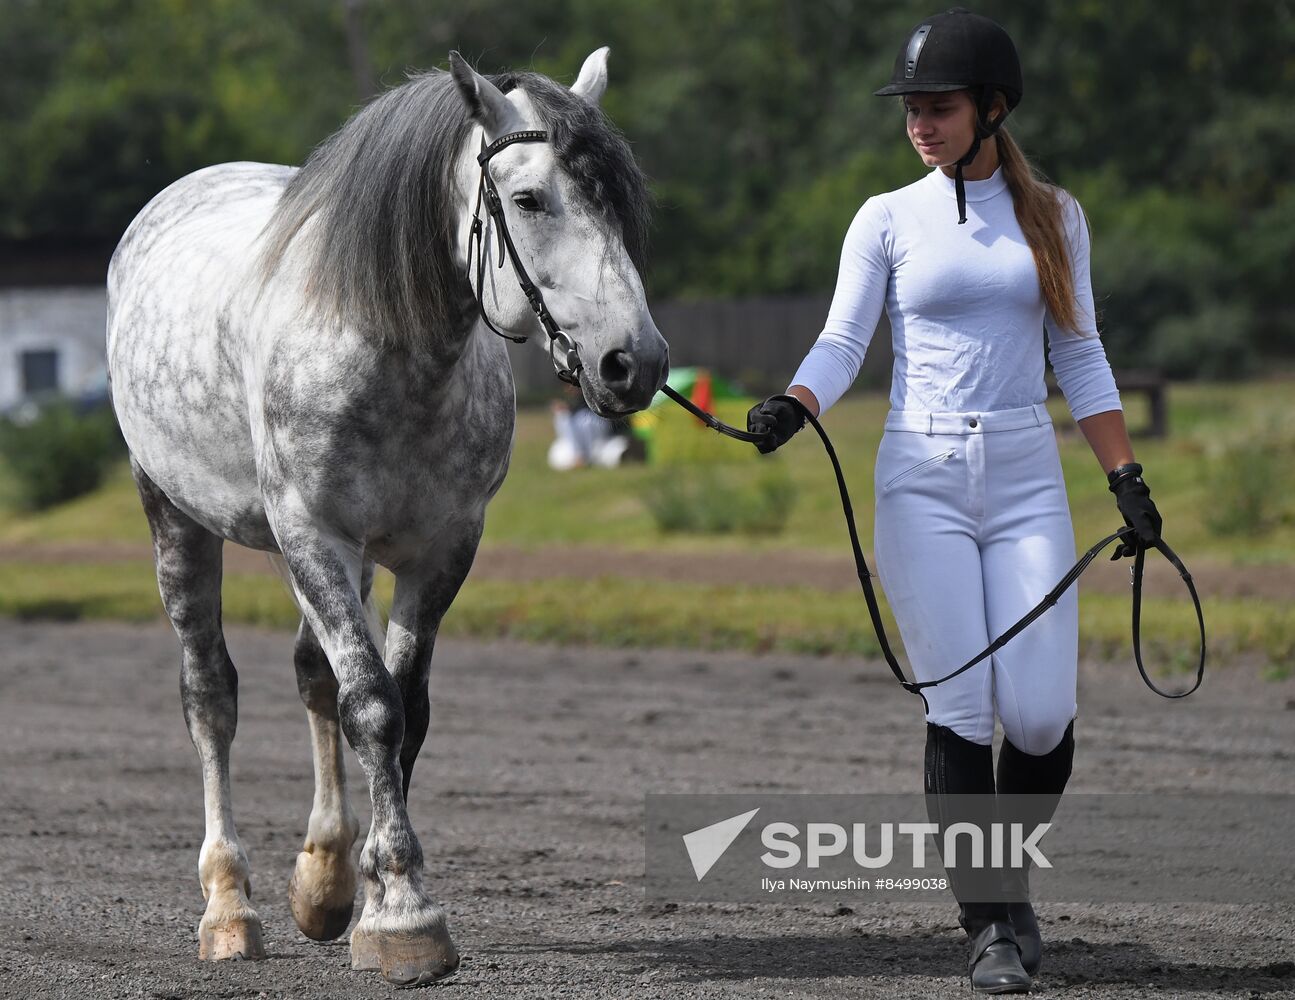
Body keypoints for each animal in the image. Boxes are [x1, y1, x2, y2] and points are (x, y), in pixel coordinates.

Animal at [106, 50, 668, 989]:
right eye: (528, 199)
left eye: (620, 200)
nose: (636, 363)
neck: (385, 346)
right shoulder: (315, 539)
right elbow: (372, 706)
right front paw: (405, 915)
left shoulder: (437, 552)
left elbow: (402, 710)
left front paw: (372, 894)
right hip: (180, 517)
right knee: (211, 695)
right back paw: (229, 907)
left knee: (312, 676)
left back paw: (323, 880)